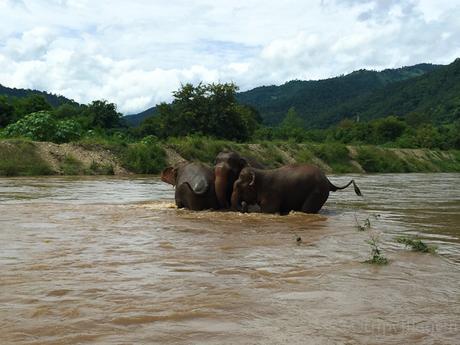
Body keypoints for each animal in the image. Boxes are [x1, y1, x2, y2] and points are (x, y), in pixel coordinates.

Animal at [232, 163, 362, 214]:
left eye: (239, 186)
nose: (243, 203)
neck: (259, 172)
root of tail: (328, 181)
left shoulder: (272, 193)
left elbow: (268, 211)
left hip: (317, 192)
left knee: (307, 209)